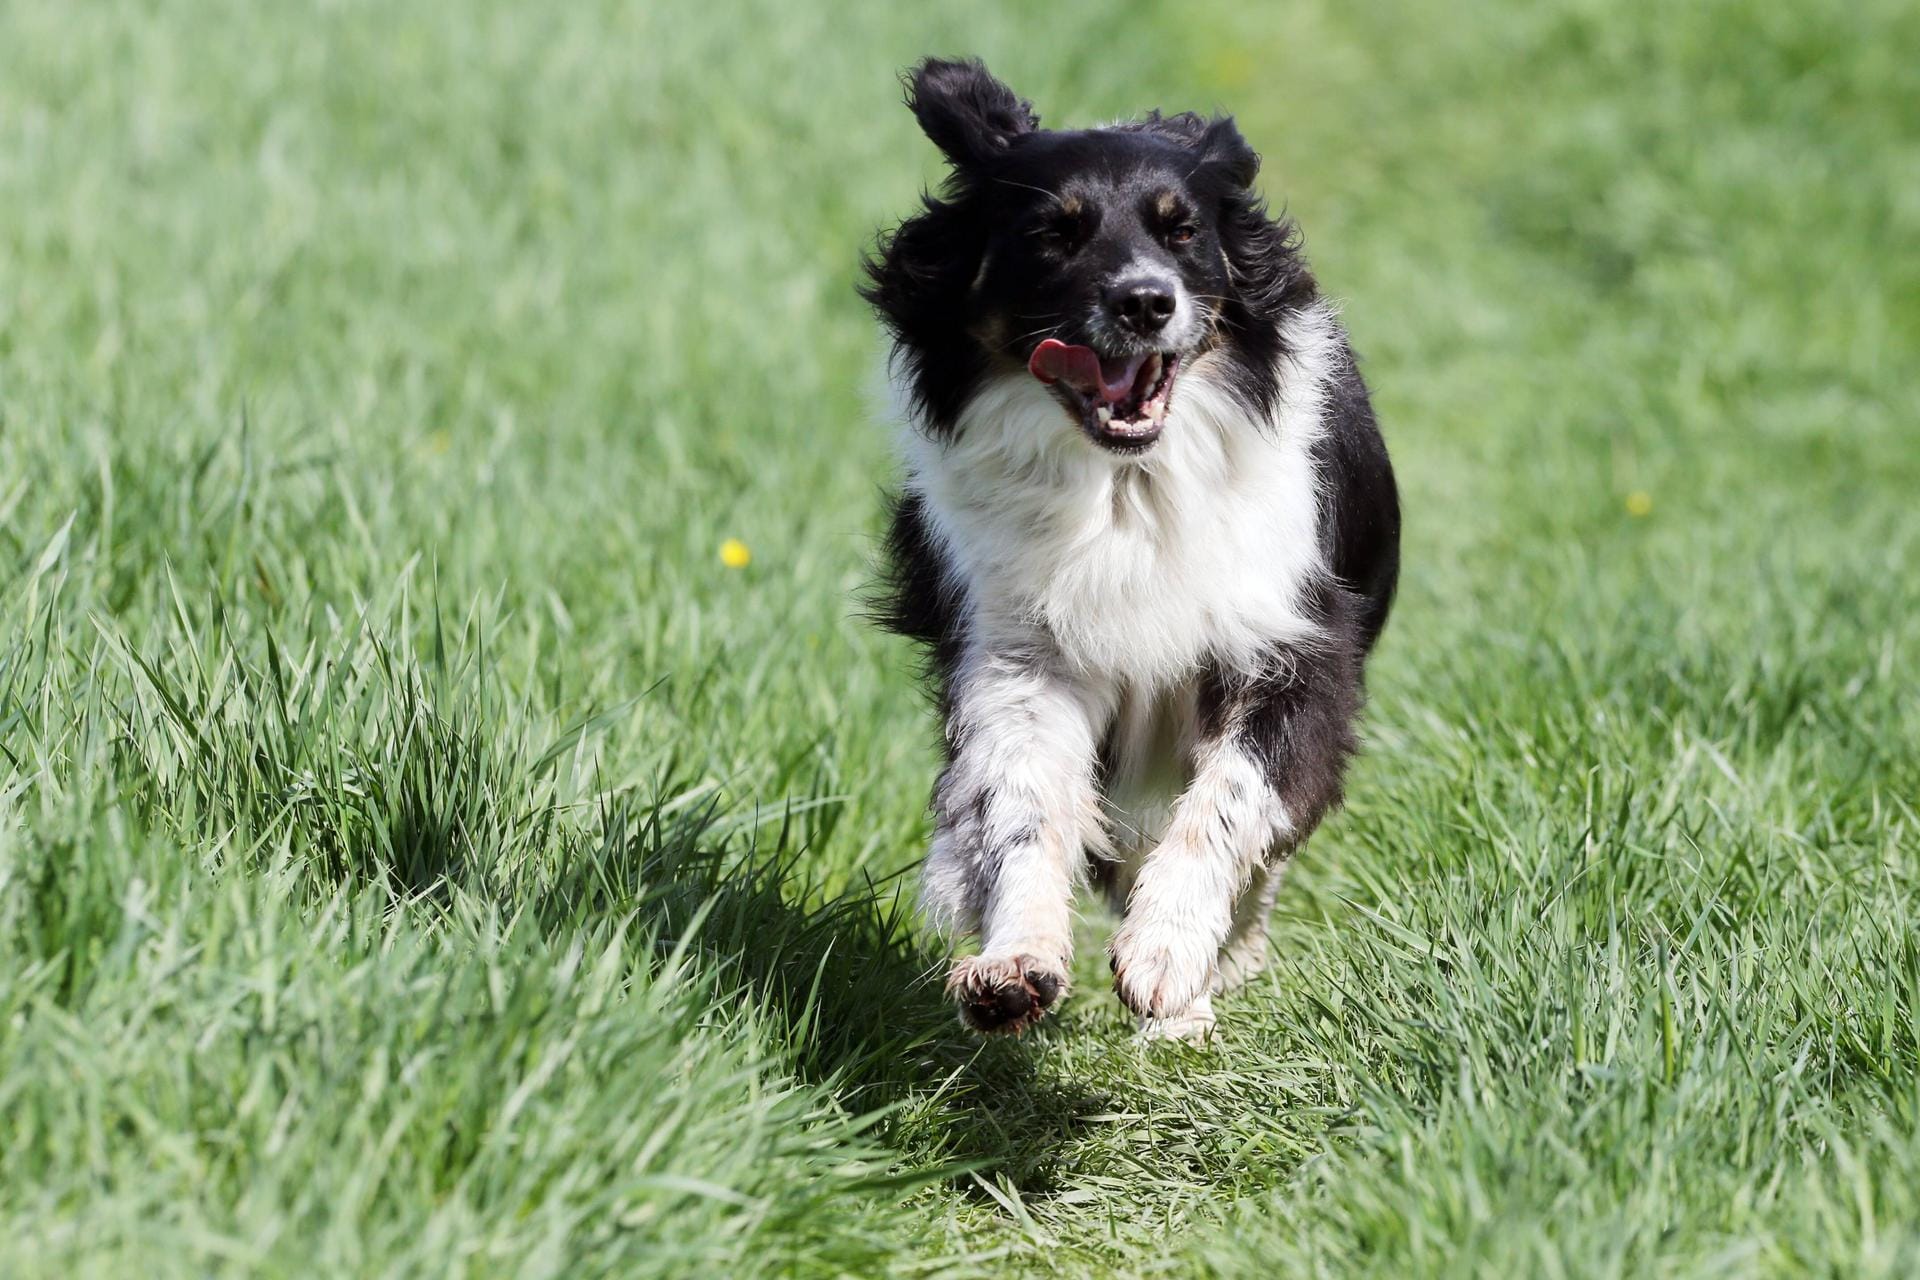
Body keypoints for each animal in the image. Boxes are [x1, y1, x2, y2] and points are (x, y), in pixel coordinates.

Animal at [867, 59, 1397, 1043]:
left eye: (1182, 229)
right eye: (1054, 233)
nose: (1146, 301)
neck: (1126, 483)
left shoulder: (1289, 641)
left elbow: (1231, 803)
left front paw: (1167, 955)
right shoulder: (1018, 649)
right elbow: (1023, 803)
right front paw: (1014, 962)